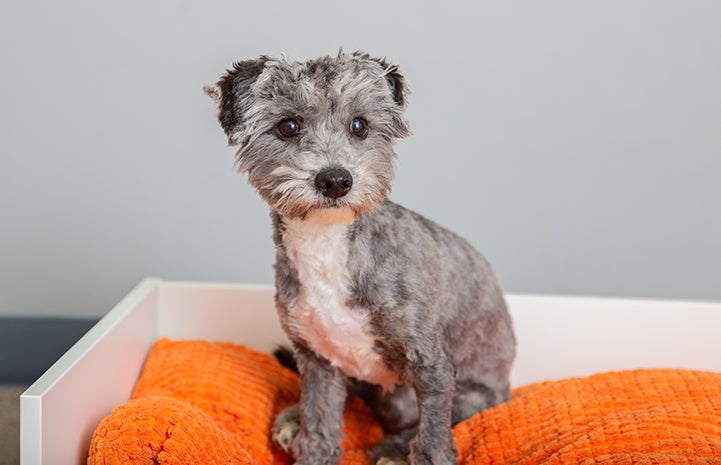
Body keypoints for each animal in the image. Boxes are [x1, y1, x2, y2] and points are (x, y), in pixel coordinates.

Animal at [205, 50, 516, 464]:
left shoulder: (430, 363)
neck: (327, 243)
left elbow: (433, 440)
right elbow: (318, 430)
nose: (336, 180)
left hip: (471, 396)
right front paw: (308, 441)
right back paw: (293, 418)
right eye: (288, 126)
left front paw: (415, 449)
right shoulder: (317, 361)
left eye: (359, 125)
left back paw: (393, 448)